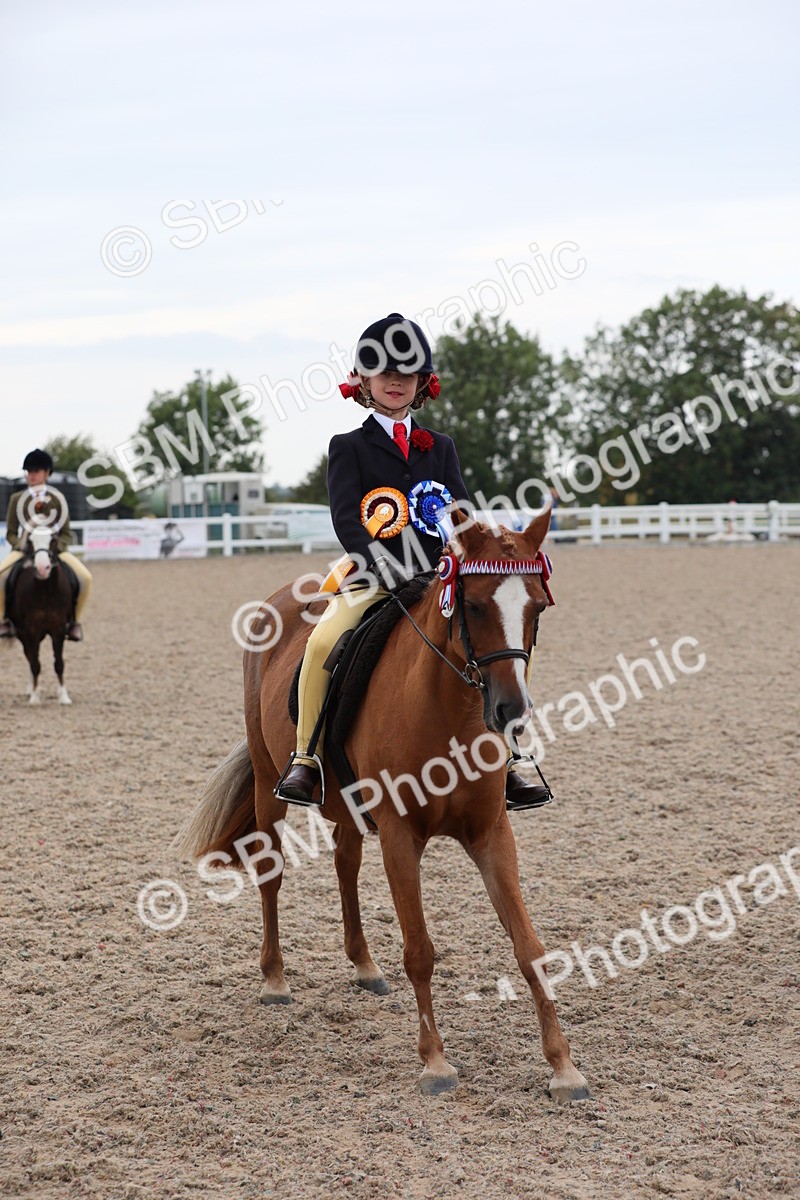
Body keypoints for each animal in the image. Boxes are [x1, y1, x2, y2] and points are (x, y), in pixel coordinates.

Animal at [7, 527, 76, 706]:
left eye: (53, 540)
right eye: (30, 541)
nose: (42, 568)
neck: (45, 592)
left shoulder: (58, 629)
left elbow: (59, 663)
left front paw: (64, 696)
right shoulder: (30, 630)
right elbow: (35, 664)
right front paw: (35, 697)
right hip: (23, 635)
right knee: (30, 657)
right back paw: (31, 689)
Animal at [174, 506, 590, 1101]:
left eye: (537, 606)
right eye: (474, 604)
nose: (511, 711)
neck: (446, 713)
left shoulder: (491, 833)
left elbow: (530, 948)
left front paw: (563, 1067)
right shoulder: (399, 835)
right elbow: (419, 951)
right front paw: (435, 1062)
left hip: (346, 806)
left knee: (345, 863)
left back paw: (364, 966)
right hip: (266, 779)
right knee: (270, 873)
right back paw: (275, 978)